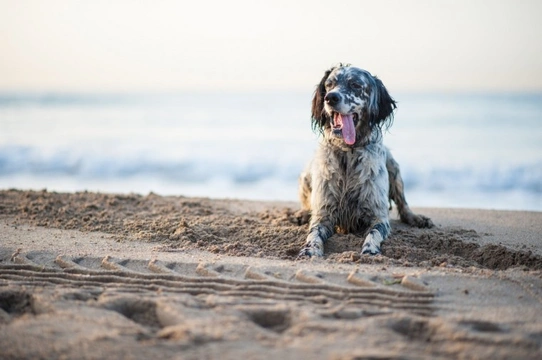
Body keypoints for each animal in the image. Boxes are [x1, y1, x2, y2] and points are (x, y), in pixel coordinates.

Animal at [300, 63, 436, 258]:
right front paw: (310, 250)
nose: (330, 98)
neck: (348, 153)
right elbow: (313, 233)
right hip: (306, 175)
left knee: (403, 205)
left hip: (394, 168)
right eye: (329, 84)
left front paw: (370, 250)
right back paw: (302, 214)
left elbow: (374, 233)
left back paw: (417, 218)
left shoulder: (378, 216)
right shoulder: (323, 215)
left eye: (356, 85)